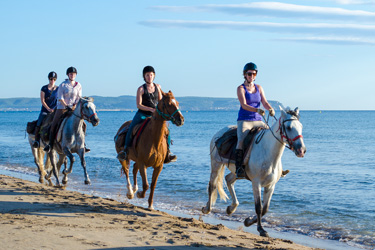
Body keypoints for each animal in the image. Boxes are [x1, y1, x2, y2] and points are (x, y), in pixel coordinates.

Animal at [203, 106, 306, 237]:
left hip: (237, 172)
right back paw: (207, 208)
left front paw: (248, 221)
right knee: (212, 185)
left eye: (301, 126)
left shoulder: (271, 185)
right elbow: (258, 207)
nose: (301, 150)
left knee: (228, 179)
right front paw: (261, 229)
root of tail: (219, 132)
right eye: (288, 127)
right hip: (216, 164)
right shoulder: (256, 183)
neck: (268, 152)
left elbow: (265, 209)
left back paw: (231, 208)